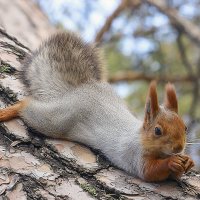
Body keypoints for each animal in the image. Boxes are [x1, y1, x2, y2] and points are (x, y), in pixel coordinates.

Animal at [0, 30, 195, 181]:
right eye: (157, 131)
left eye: (185, 127)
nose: (179, 147)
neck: (141, 136)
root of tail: (77, 90)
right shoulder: (135, 156)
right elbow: (150, 172)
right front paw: (172, 162)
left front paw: (187, 162)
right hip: (56, 120)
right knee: (27, 106)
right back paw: (9, 111)